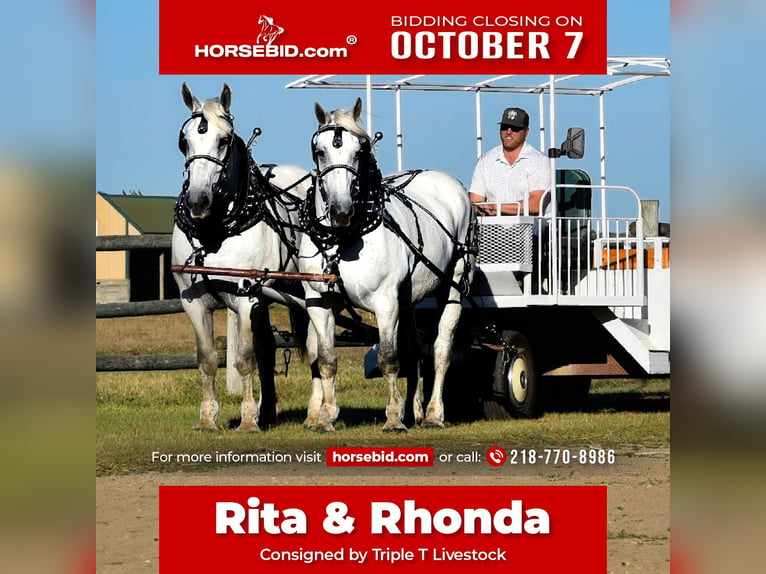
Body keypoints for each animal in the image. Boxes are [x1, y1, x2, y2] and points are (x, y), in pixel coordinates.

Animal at [174, 82, 312, 432]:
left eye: (223, 140)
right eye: (184, 141)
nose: (197, 200)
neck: (213, 232)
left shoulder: (246, 298)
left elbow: (245, 358)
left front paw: (248, 420)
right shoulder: (193, 301)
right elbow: (208, 359)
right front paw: (207, 419)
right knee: (267, 348)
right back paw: (269, 411)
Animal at [298, 99, 474, 432]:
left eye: (360, 150)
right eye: (319, 151)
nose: (341, 211)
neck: (343, 238)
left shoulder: (385, 301)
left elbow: (389, 358)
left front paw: (393, 418)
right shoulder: (319, 301)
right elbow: (326, 360)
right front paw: (326, 416)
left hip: (453, 284)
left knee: (441, 349)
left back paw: (434, 414)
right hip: (409, 298)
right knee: (415, 349)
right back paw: (416, 411)